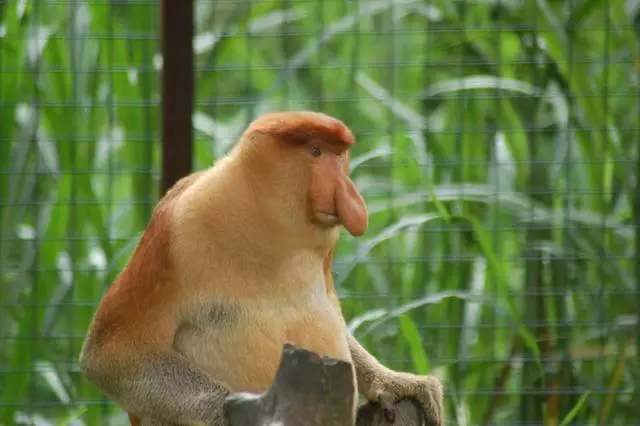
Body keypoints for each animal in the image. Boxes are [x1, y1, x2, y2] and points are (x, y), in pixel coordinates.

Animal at [77, 110, 442, 426]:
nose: (351, 195)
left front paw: (399, 383)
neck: (267, 225)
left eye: (340, 155)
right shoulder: (175, 231)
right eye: (315, 151)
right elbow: (110, 355)